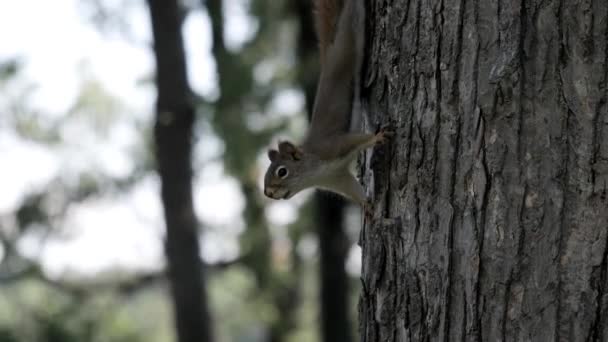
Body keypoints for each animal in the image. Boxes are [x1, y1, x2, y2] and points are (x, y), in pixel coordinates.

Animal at [264, 0, 392, 214]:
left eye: (282, 171)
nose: (268, 193)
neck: (314, 174)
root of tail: (330, 52)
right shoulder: (337, 179)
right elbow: (353, 189)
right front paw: (366, 207)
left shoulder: (333, 147)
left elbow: (357, 140)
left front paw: (377, 137)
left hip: (350, 29)